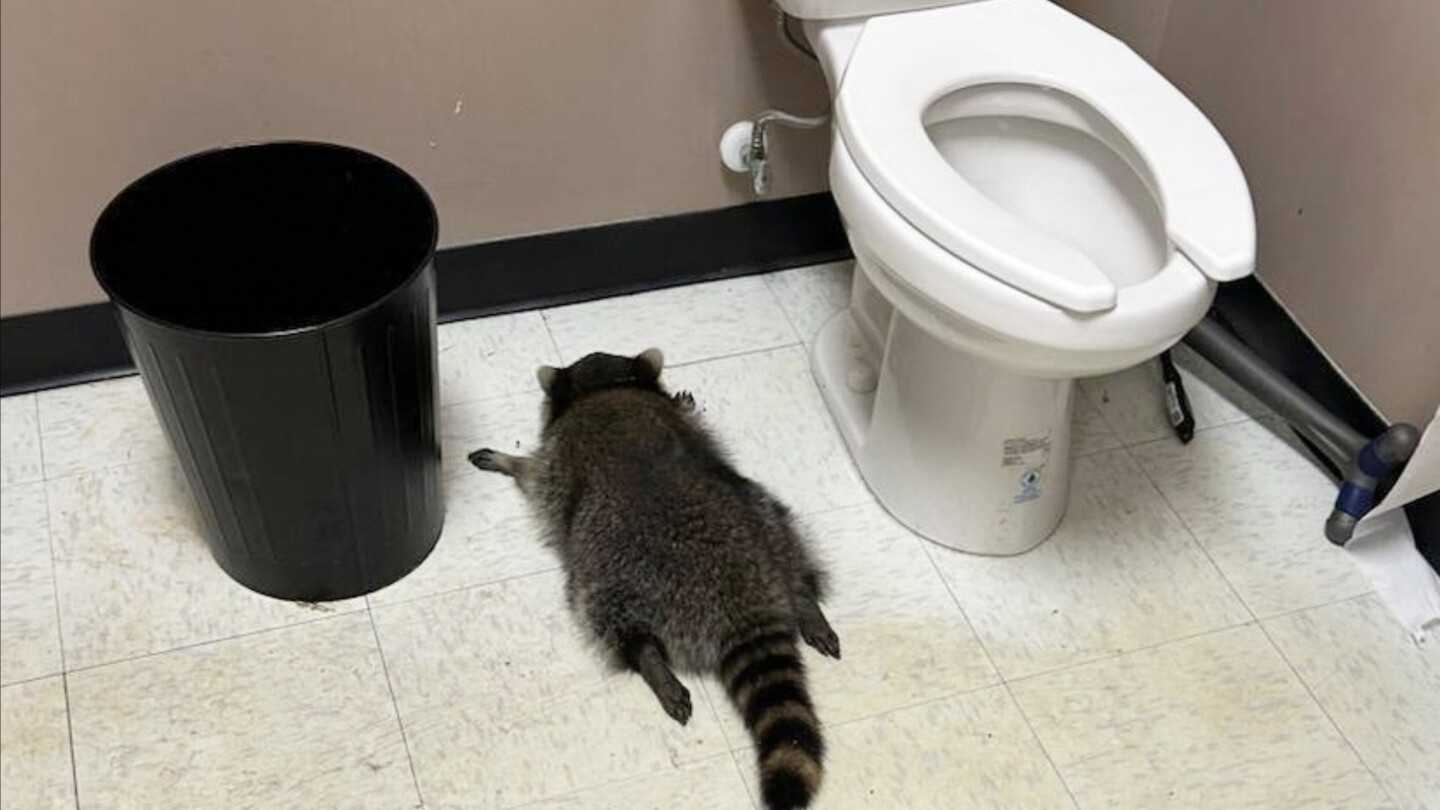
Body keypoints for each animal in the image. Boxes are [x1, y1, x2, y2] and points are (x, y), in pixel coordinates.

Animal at [468, 348, 839, 810]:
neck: (607, 387)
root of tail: (741, 598)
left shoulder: (557, 459)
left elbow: (535, 474)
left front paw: (509, 461)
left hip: (612, 570)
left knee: (606, 615)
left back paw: (648, 659)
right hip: (764, 516)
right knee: (788, 539)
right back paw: (805, 599)